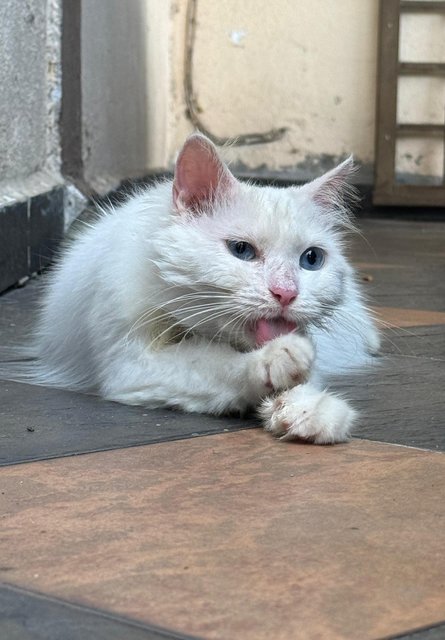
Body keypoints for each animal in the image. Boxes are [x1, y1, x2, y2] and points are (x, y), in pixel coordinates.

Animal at [6, 134, 378, 444]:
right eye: (241, 250)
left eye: (311, 259)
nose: (286, 293)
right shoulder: (132, 366)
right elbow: (215, 365)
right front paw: (276, 360)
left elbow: (304, 378)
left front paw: (309, 408)